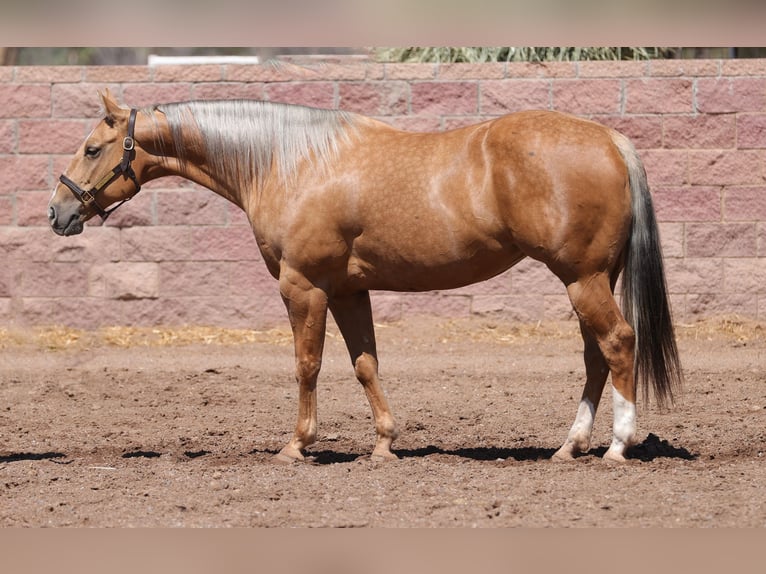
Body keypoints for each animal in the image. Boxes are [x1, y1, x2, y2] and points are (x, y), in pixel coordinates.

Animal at [48, 89, 683, 463]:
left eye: (92, 148)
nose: (58, 212)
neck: (291, 162)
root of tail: (610, 139)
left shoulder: (303, 287)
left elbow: (307, 365)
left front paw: (296, 446)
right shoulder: (350, 290)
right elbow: (365, 364)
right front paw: (383, 445)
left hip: (582, 277)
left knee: (617, 343)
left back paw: (616, 447)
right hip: (591, 278)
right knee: (596, 354)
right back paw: (570, 446)